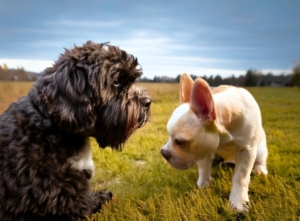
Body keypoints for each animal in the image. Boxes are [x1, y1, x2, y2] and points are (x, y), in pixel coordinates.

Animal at [0, 41, 151, 219]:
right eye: (116, 82)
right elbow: (93, 201)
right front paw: (104, 196)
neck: (53, 129)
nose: (148, 102)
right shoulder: (68, 201)